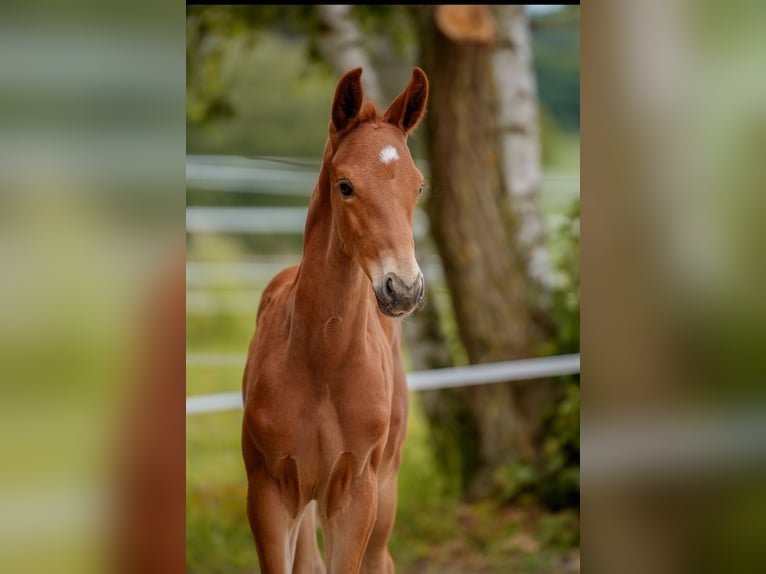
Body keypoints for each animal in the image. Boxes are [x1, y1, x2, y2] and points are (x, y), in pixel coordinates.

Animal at [242, 68, 428, 574]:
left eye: (419, 186)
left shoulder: (355, 492)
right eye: (345, 185)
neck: (323, 362)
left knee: (380, 561)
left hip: (385, 491)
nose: (403, 288)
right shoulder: (269, 492)